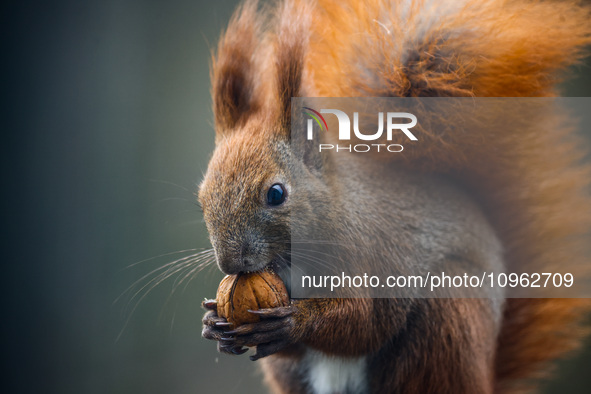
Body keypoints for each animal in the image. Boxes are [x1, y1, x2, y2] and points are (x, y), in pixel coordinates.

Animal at [200, 0, 591, 392]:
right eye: (202, 198)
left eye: (276, 194)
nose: (231, 264)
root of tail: (485, 375)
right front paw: (214, 324)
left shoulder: (369, 255)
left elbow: (363, 323)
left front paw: (293, 321)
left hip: (448, 318)